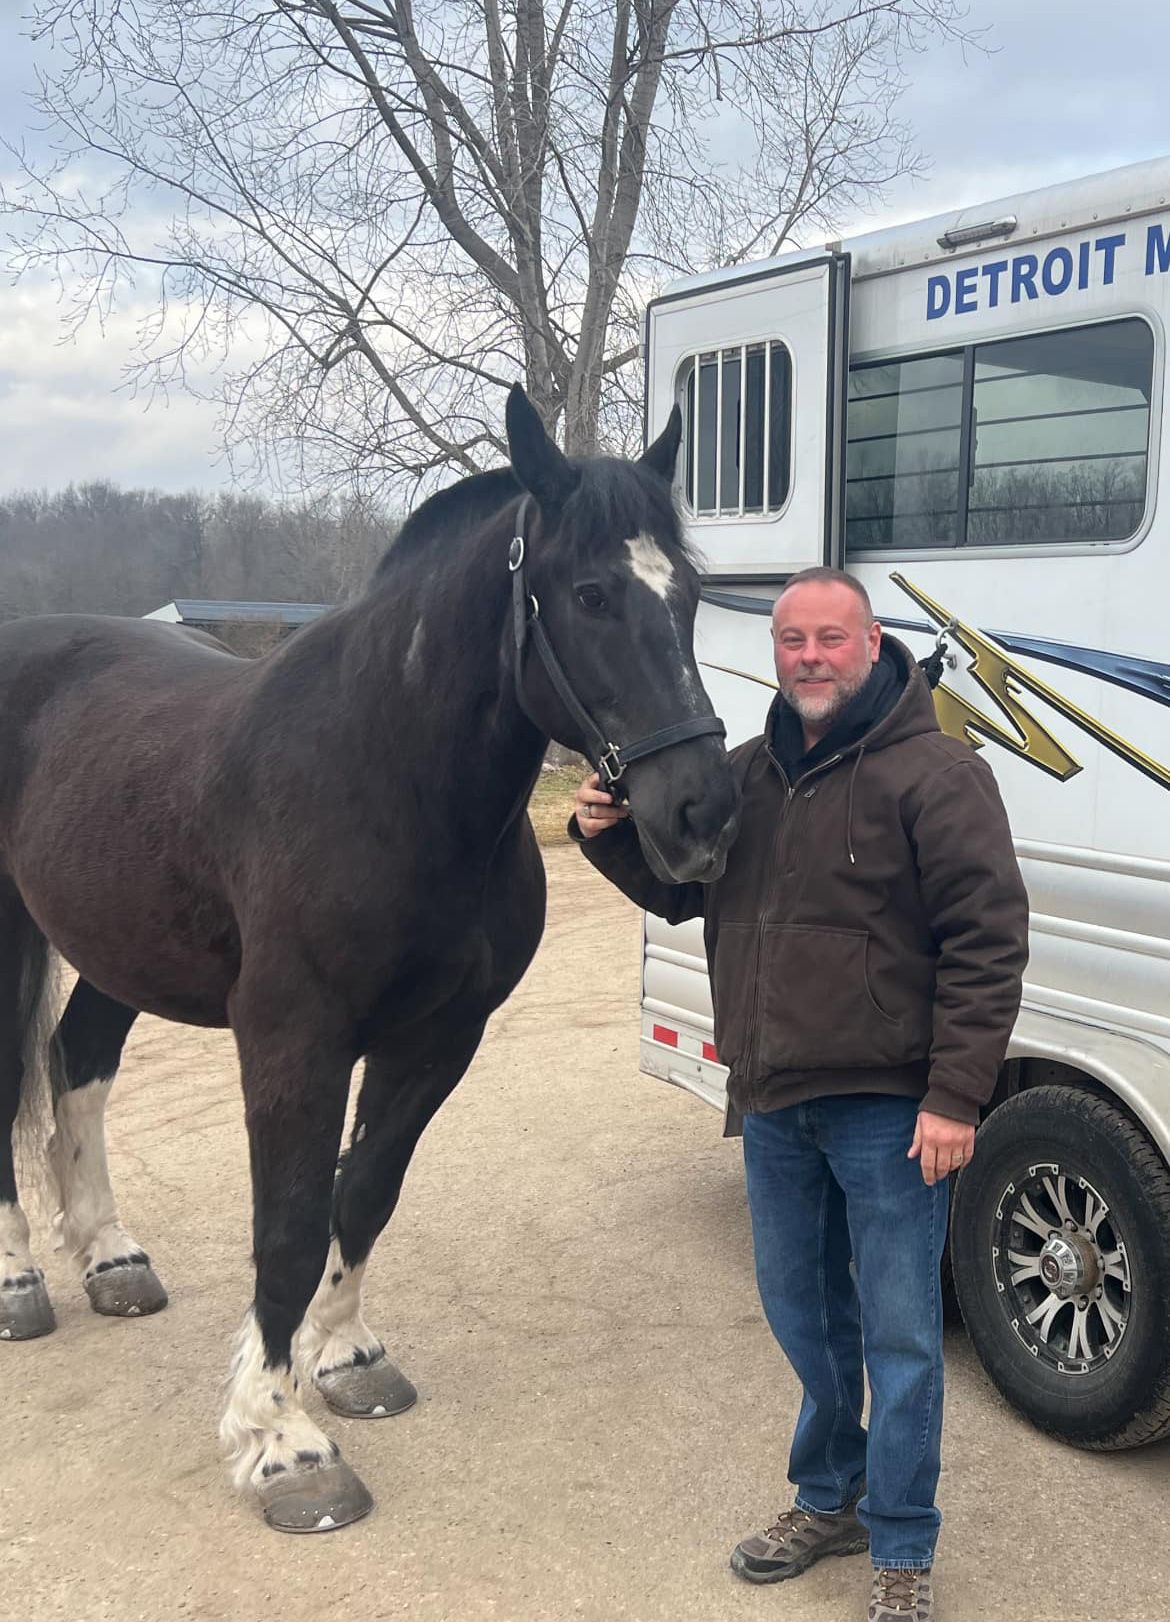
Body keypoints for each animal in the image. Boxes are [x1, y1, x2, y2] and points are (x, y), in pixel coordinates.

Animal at [0, 389, 739, 1531]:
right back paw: (19, 1283)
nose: (701, 813)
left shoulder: (437, 1038)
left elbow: (367, 1191)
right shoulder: (293, 1040)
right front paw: (282, 1441)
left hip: (117, 947)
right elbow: (291, 1223)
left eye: (691, 594)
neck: (386, 775)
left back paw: (112, 1255)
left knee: (76, 1065)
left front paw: (344, 1356)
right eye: (591, 594)